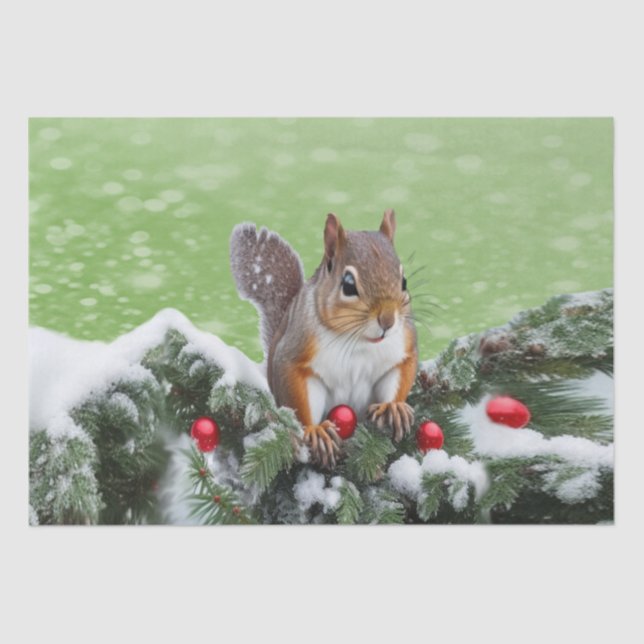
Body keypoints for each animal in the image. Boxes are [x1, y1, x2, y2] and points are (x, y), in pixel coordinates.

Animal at [229, 209, 418, 468]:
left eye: (404, 281)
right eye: (348, 285)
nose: (388, 320)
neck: (358, 340)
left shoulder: (403, 347)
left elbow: (401, 372)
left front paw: (395, 407)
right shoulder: (294, 352)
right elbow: (297, 392)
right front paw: (314, 431)